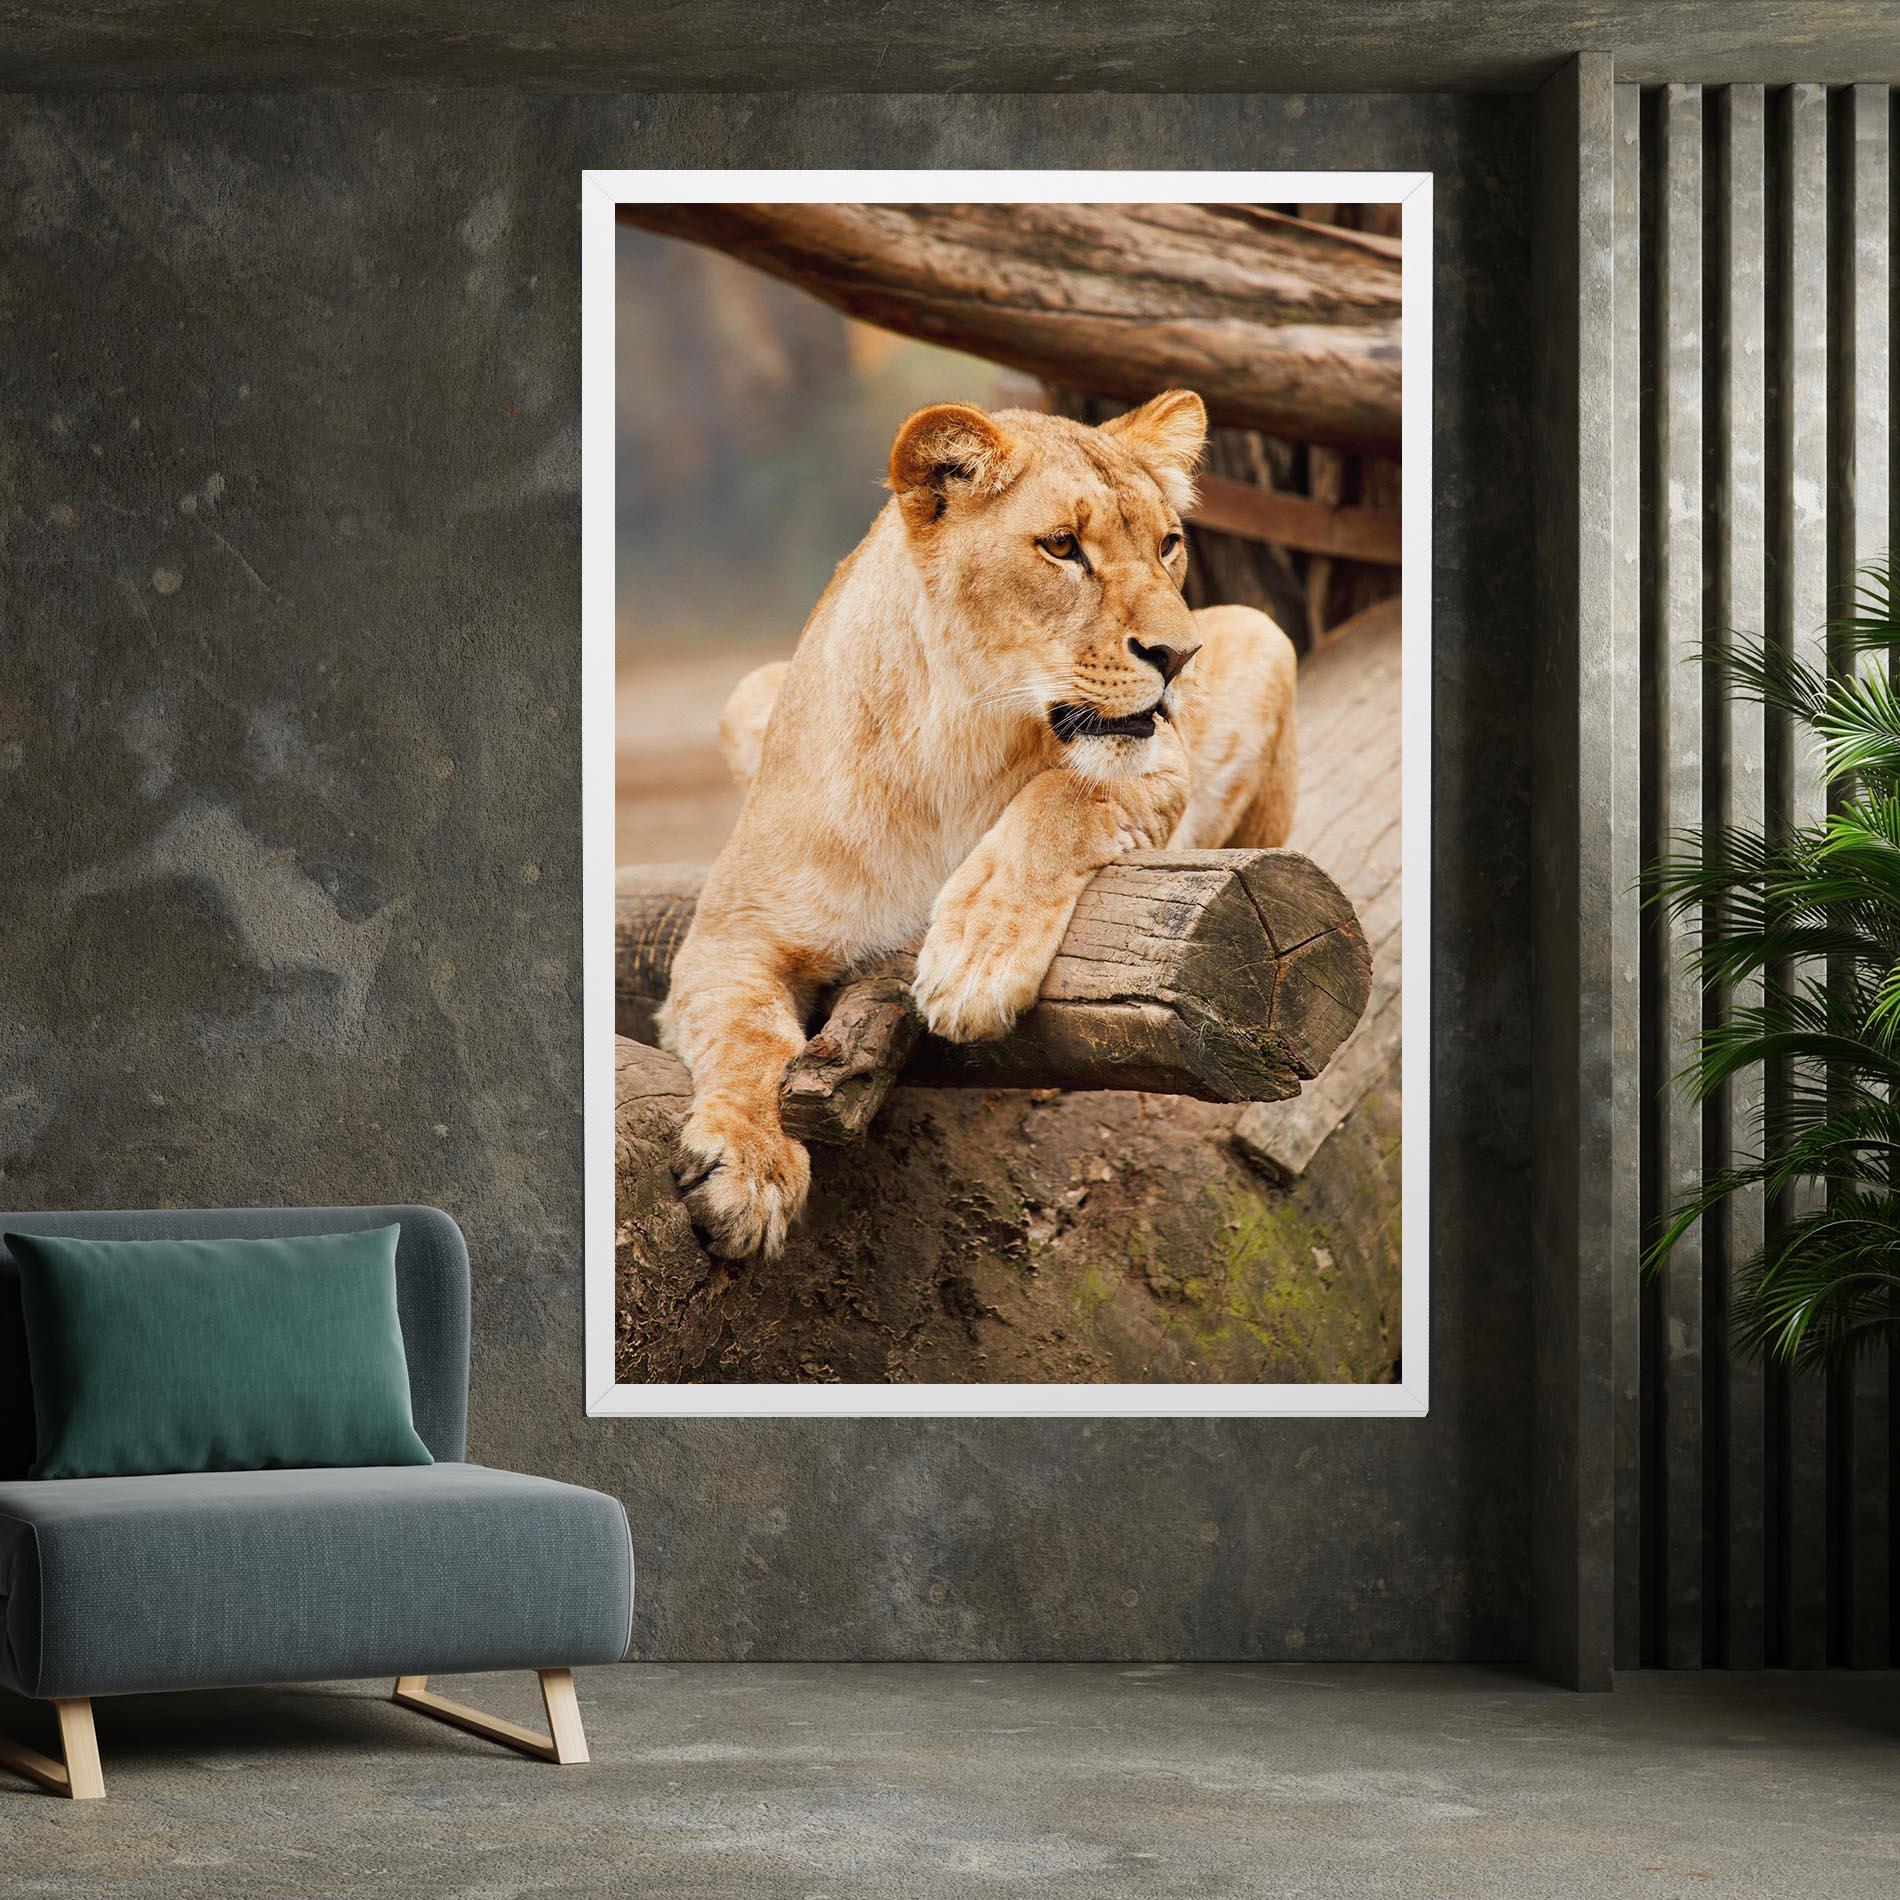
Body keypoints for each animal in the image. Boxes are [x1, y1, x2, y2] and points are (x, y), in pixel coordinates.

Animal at [658, 389, 1298, 1260]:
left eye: (1168, 545)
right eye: (1062, 546)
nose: (1180, 656)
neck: (955, 743)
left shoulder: (1162, 763)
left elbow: (1064, 797)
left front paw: (973, 964)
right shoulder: (730, 933)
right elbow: (746, 1034)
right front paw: (750, 1169)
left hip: (1266, 635)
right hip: (748, 692)